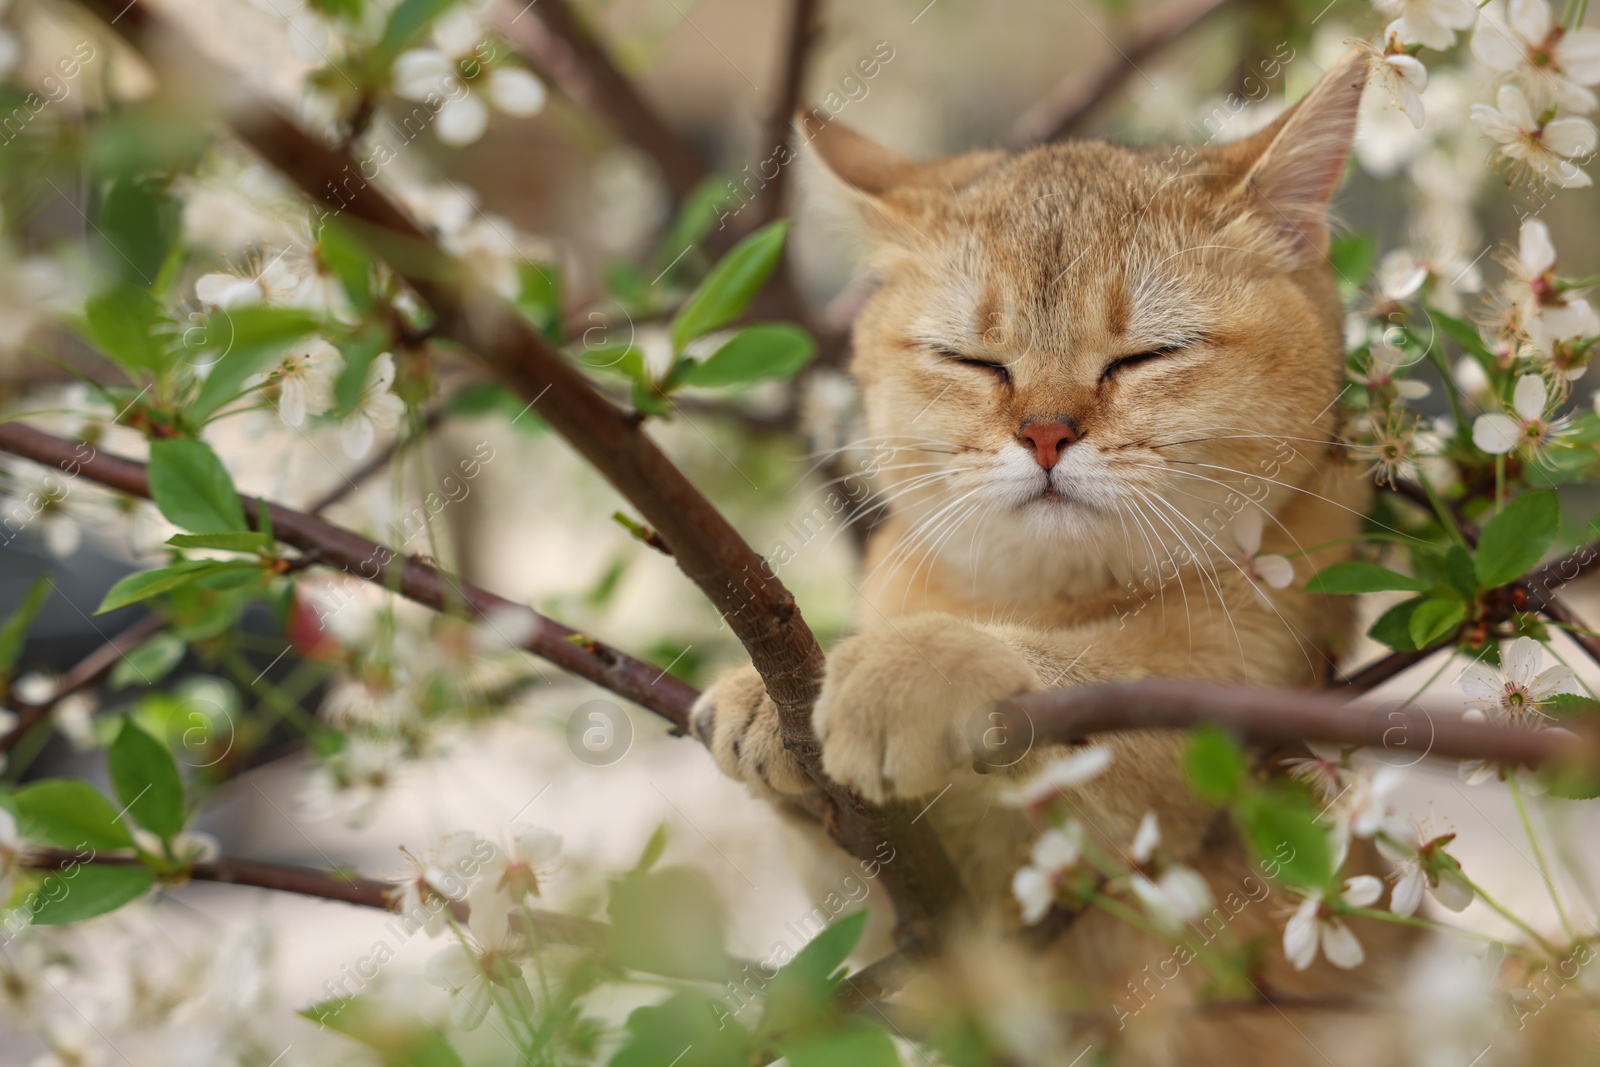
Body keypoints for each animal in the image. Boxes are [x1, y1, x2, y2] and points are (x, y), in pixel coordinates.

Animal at [688, 51, 1414, 1067]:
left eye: (1146, 355)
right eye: (972, 360)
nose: (1044, 433)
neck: (1048, 595)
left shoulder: (1201, 736)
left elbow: (1081, 672)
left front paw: (915, 666)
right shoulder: (927, 940)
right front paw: (772, 694)